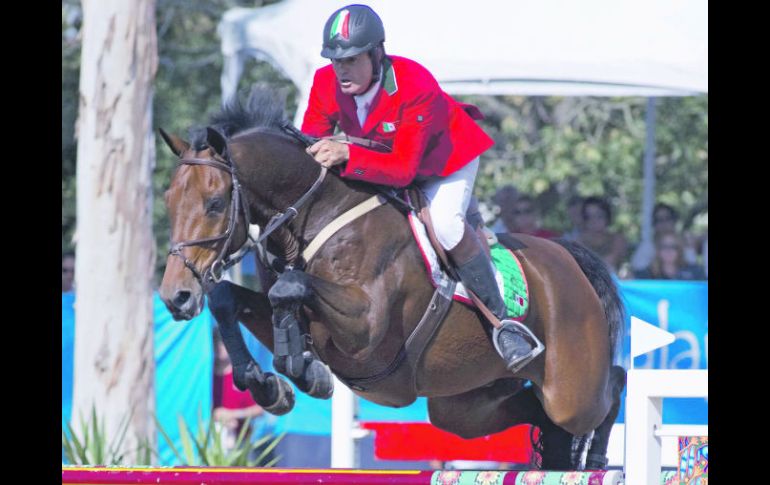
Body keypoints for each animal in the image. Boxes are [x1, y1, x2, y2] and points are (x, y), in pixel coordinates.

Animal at [156, 91, 624, 468]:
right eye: (168, 200)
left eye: (215, 203)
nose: (176, 297)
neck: (315, 215)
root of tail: (568, 258)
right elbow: (229, 299)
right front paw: (271, 385)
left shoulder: (365, 331)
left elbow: (289, 288)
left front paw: (302, 372)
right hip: (466, 405)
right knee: (537, 414)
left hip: (570, 390)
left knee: (608, 388)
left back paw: (596, 455)